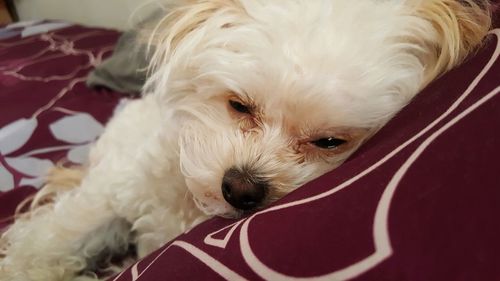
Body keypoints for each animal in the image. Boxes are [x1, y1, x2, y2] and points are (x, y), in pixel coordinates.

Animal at [0, 0, 492, 280]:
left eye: (329, 141)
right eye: (239, 105)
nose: (241, 189)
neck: (188, 199)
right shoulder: (110, 195)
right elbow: (52, 237)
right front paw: (24, 265)